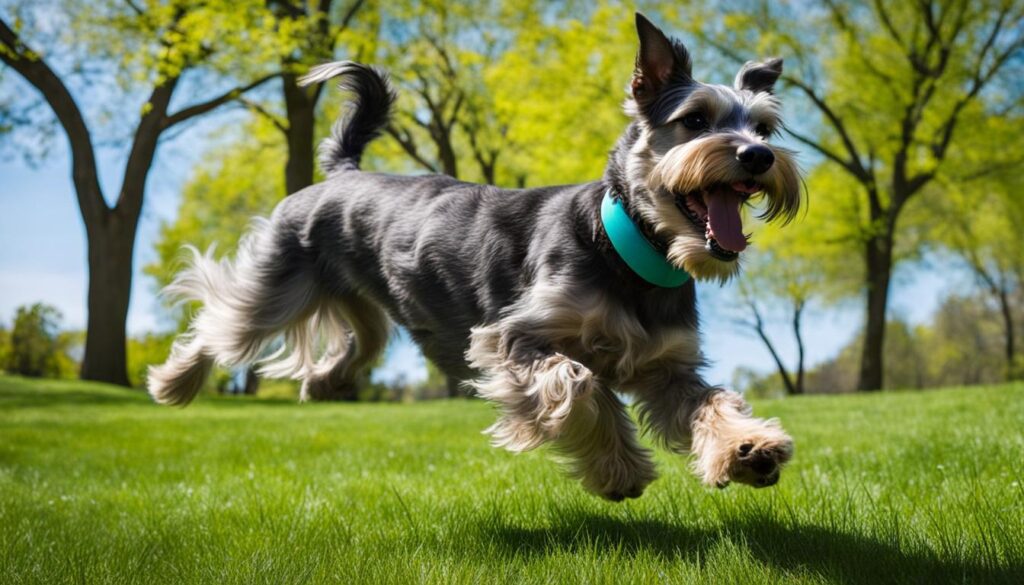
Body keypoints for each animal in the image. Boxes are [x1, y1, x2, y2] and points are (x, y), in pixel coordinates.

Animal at [151, 12, 802, 499]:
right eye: (695, 120)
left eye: (765, 129)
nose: (757, 157)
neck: (626, 250)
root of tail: (343, 172)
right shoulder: (511, 337)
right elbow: (580, 383)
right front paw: (618, 470)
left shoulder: (666, 365)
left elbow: (711, 400)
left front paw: (748, 447)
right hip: (283, 279)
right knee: (226, 317)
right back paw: (174, 382)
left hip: (365, 303)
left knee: (357, 341)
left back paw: (322, 380)